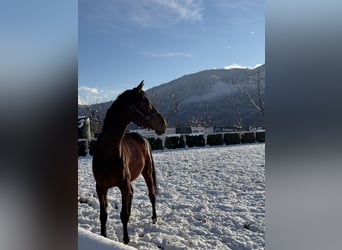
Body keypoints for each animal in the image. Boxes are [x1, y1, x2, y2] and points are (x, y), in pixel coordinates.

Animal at [91, 80, 166, 244]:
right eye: (145, 102)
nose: (163, 123)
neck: (107, 154)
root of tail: (143, 138)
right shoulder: (100, 188)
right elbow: (103, 215)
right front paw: (103, 236)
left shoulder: (123, 186)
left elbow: (123, 215)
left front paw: (126, 239)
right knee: (132, 194)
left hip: (147, 172)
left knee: (151, 195)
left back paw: (154, 218)